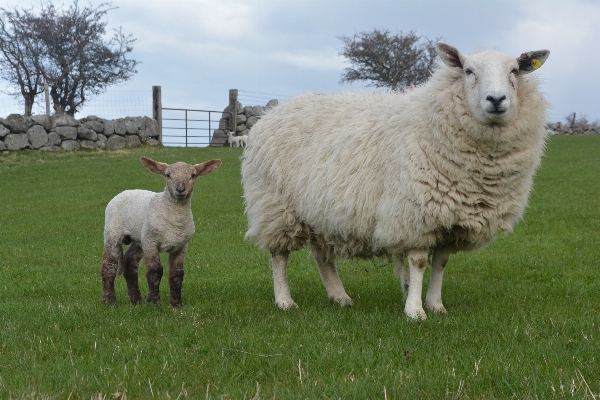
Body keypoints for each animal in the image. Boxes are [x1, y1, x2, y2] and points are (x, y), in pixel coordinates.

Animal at [101, 155, 223, 306]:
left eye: (193, 175)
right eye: (168, 175)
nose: (180, 189)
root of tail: (125, 191)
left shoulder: (182, 245)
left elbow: (177, 274)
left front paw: (176, 304)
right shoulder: (151, 242)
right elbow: (155, 270)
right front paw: (153, 302)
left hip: (139, 237)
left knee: (130, 263)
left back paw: (136, 300)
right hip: (114, 231)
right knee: (109, 265)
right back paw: (109, 300)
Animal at [241, 43, 552, 318]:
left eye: (515, 70)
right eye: (468, 70)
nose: (496, 100)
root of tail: (270, 113)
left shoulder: (450, 218)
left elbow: (441, 263)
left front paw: (436, 305)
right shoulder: (414, 214)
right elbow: (418, 262)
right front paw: (414, 310)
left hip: (319, 212)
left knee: (322, 256)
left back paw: (339, 297)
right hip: (275, 206)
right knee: (279, 255)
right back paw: (285, 300)